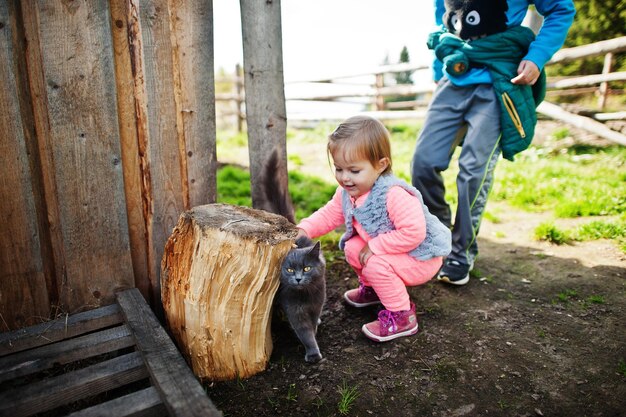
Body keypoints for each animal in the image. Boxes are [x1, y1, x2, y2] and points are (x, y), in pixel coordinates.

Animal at [258, 149, 326, 360]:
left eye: (307, 268)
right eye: (288, 270)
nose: (297, 278)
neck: (305, 296)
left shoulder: (316, 304)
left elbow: (312, 326)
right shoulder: (295, 310)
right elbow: (305, 332)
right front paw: (313, 353)